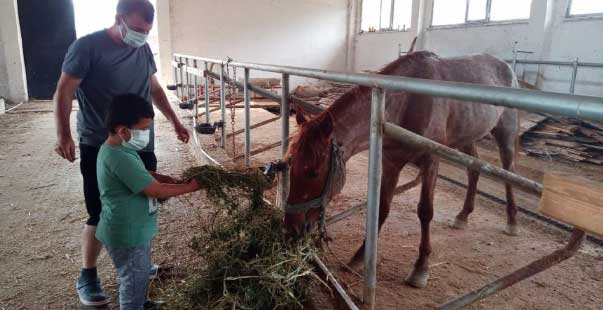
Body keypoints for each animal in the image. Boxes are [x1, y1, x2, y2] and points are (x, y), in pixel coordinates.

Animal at [284, 50, 520, 288]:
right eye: (290, 165)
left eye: (313, 172)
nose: (292, 227)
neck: (406, 102)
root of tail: (506, 67)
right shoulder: (391, 163)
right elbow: (382, 209)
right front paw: (359, 258)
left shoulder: (431, 161)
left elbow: (425, 211)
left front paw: (420, 268)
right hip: (467, 138)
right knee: (474, 170)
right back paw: (463, 216)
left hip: (505, 134)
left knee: (509, 172)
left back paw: (512, 221)